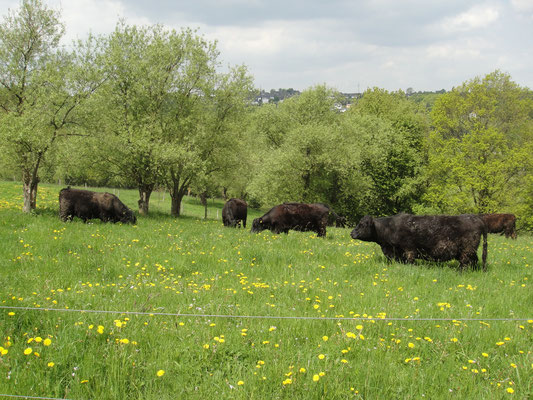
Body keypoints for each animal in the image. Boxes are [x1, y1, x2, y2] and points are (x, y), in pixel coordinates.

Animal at [350, 214, 486, 270]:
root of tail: (477, 219)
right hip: (471, 251)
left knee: (465, 263)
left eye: (362, 224)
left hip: (466, 250)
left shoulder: (409, 249)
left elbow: (410, 261)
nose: (351, 233)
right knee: (474, 261)